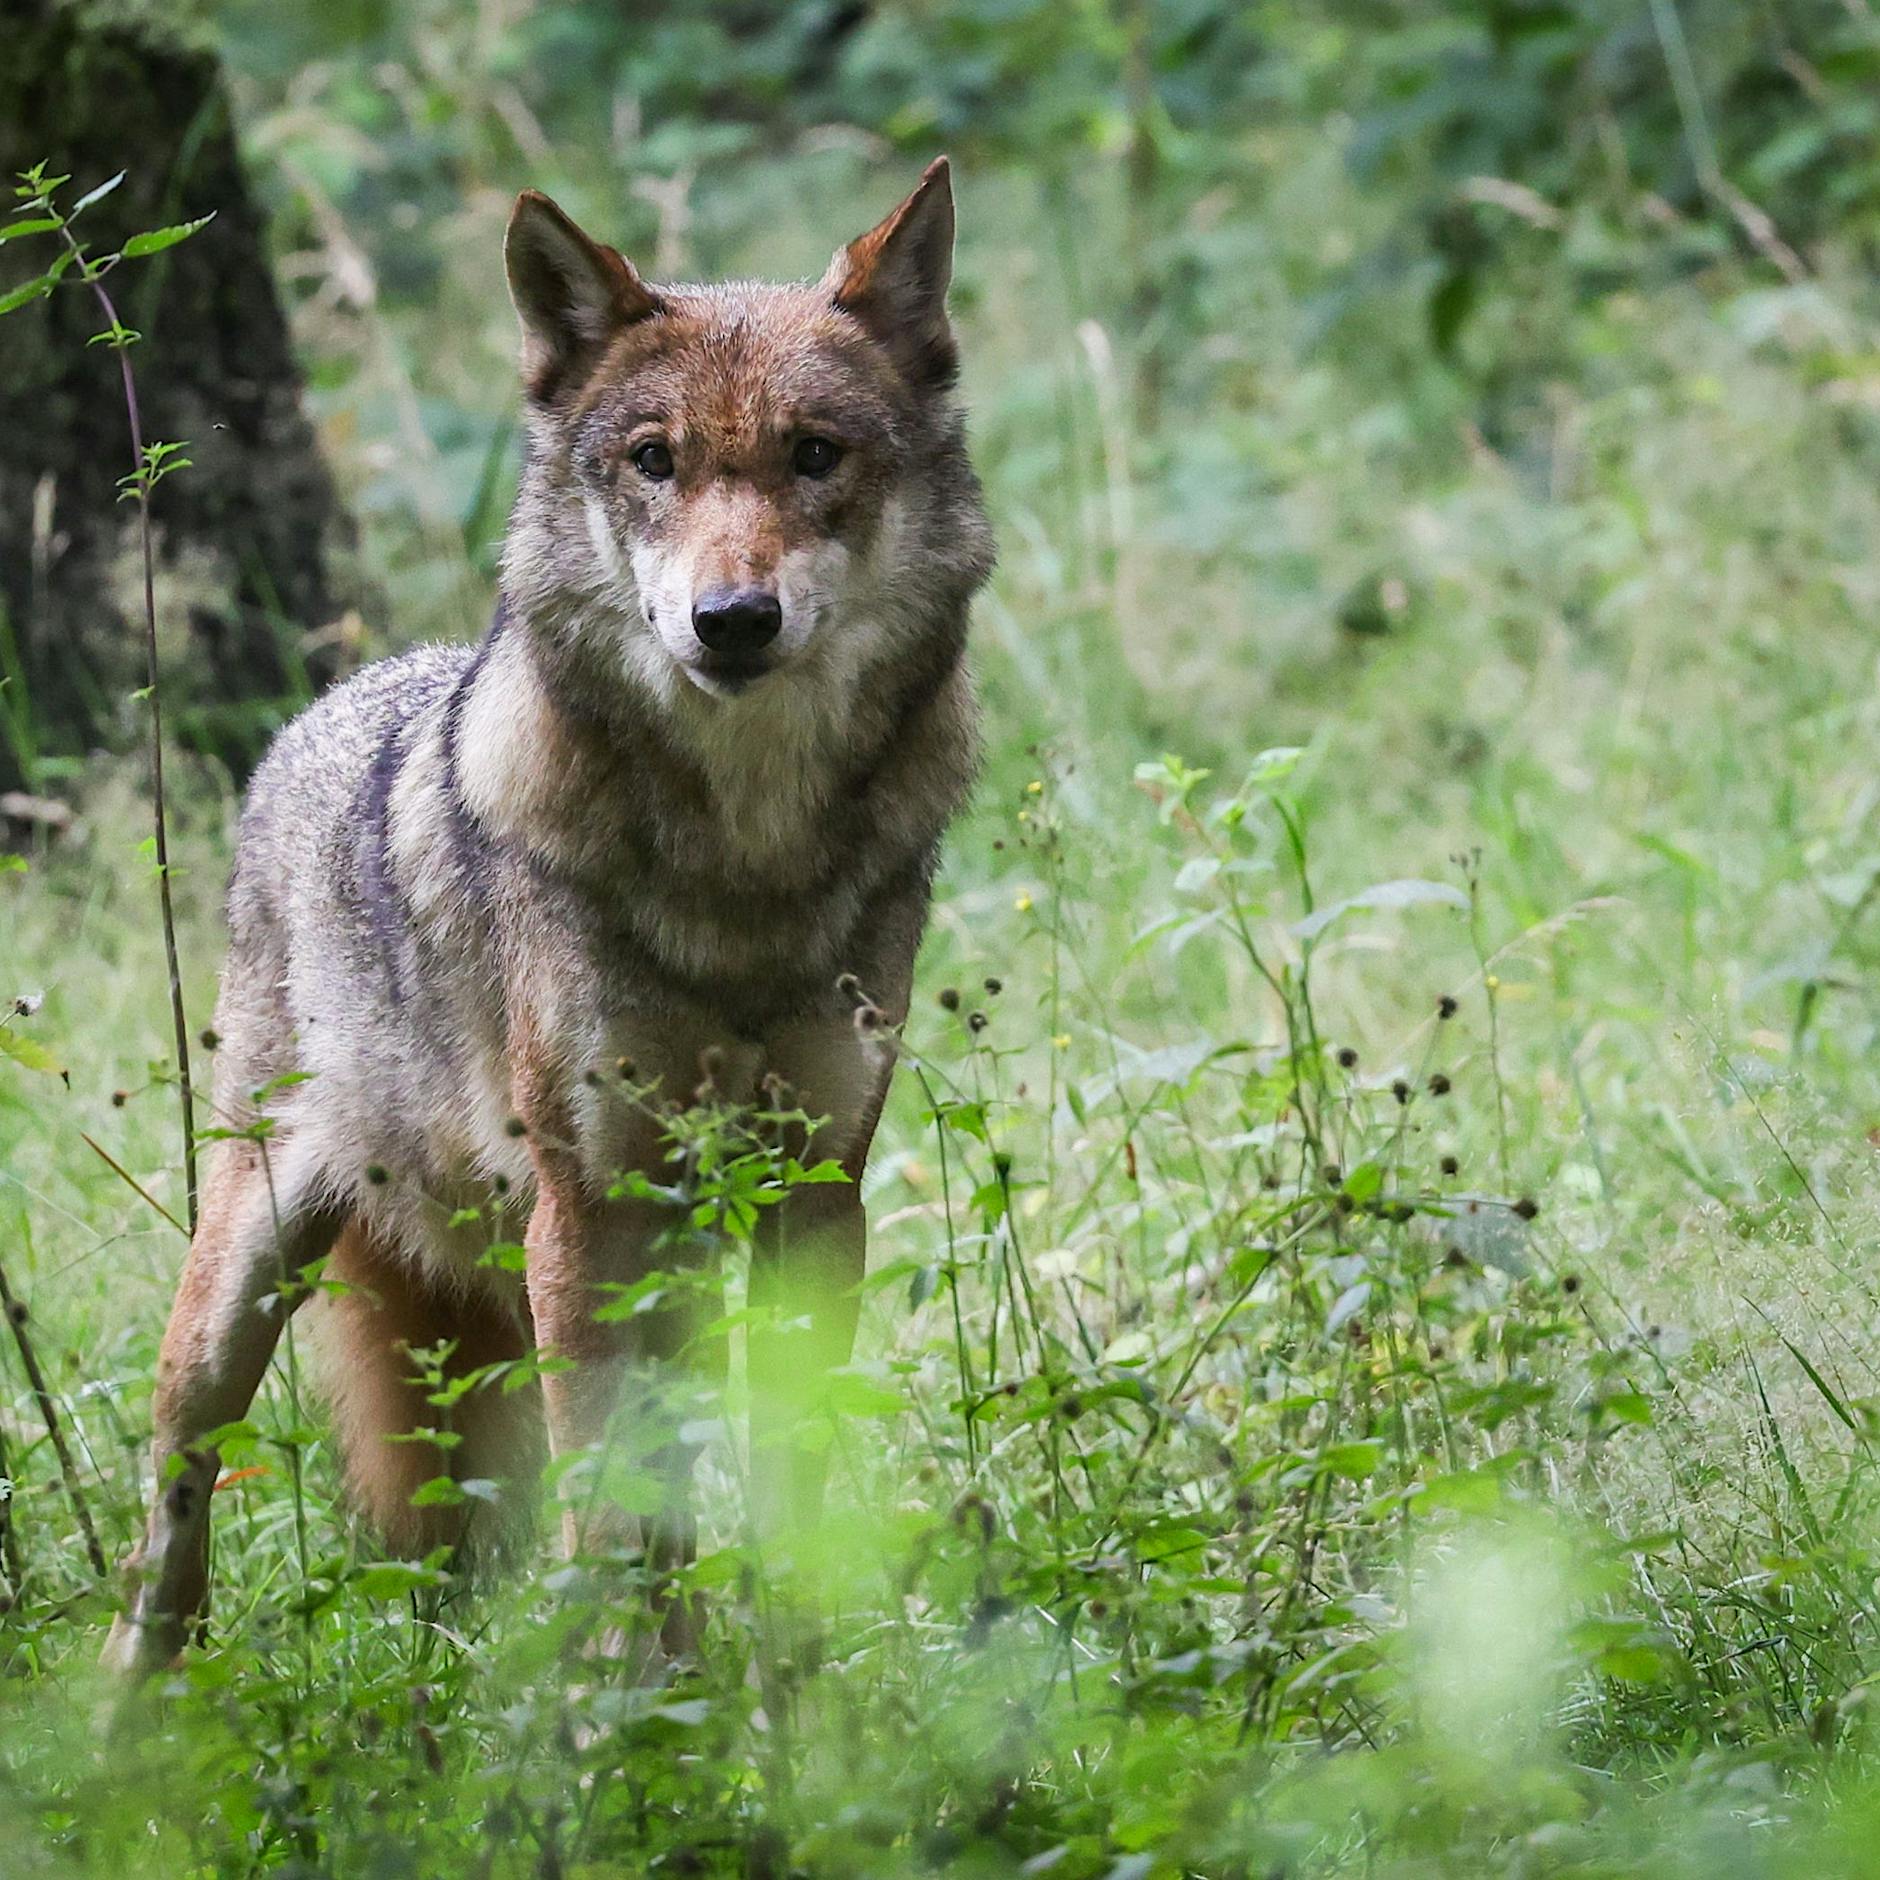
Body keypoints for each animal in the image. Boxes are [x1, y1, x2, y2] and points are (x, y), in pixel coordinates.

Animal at [101, 159, 993, 1678]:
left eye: (815, 454)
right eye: (653, 460)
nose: (732, 619)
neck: (743, 866)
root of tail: (317, 715)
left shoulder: (815, 1196)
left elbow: (786, 1484)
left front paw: (797, 1696)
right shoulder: (590, 1211)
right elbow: (611, 1508)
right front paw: (627, 1709)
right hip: (241, 1290)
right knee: (171, 1518)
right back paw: (131, 1714)